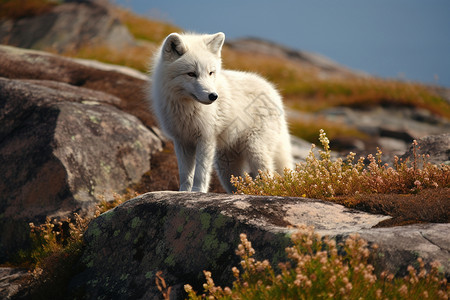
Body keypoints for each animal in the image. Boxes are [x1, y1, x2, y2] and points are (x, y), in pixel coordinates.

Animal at [151, 32, 292, 192]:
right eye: (191, 74)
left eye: (210, 73)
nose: (213, 96)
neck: (186, 109)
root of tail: (273, 92)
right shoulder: (182, 141)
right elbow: (185, 174)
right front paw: (184, 193)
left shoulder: (206, 138)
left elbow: (201, 173)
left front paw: (198, 192)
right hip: (226, 167)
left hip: (255, 150)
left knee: (269, 177)